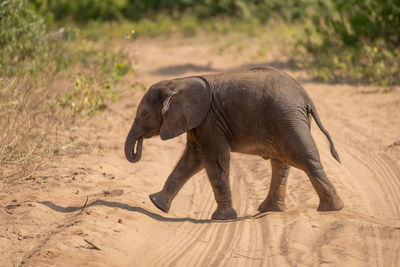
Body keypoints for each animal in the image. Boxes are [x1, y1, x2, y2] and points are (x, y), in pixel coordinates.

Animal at [124, 67, 344, 222]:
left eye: (144, 114)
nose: (139, 144)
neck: (179, 82)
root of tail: (305, 95)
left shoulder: (209, 121)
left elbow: (213, 161)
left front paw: (222, 219)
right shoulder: (200, 122)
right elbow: (192, 160)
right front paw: (156, 204)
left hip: (287, 119)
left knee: (302, 157)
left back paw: (332, 209)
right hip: (285, 120)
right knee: (281, 162)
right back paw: (271, 210)